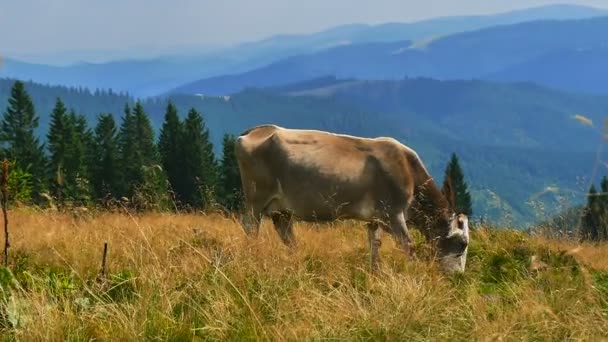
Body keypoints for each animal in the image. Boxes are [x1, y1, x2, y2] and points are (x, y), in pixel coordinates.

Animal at [233, 124, 470, 274]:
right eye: (463, 243)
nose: (458, 276)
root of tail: (257, 130)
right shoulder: (393, 213)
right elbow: (408, 245)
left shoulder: (375, 219)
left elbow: (374, 244)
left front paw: (375, 274)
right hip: (256, 199)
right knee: (250, 227)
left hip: (281, 208)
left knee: (287, 236)